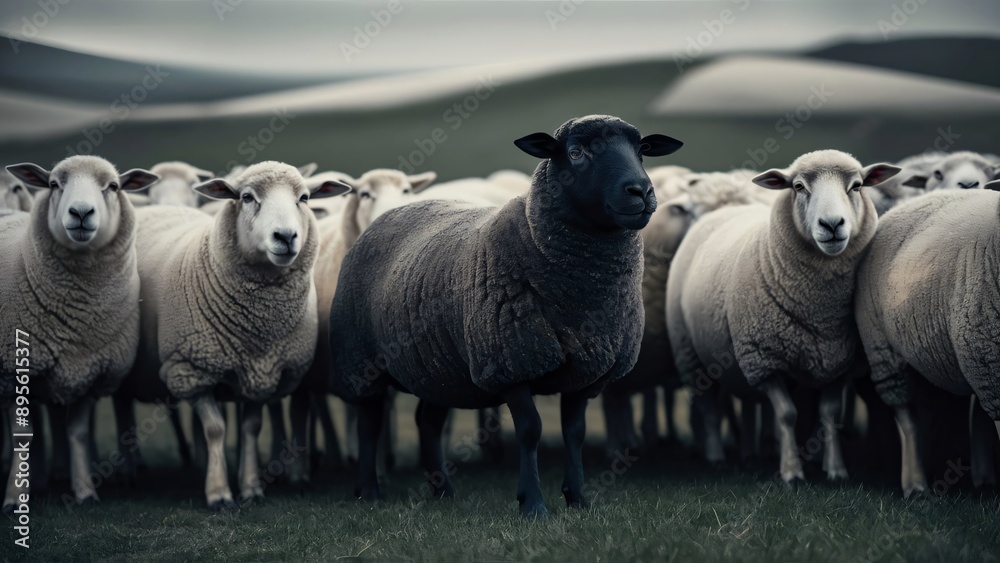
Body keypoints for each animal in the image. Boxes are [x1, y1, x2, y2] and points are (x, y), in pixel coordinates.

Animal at [0, 156, 159, 511]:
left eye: (113, 186)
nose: (81, 212)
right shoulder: (14, 371)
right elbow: (22, 436)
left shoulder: (89, 370)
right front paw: (14, 499)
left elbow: (77, 434)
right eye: (53, 184)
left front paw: (85, 492)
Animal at [125, 161, 349, 509]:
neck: (258, 329)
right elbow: (216, 428)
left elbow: (251, 428)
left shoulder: (263, 374)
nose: (286, 236)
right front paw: (218, 492)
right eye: (246, 197)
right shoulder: (191, 369)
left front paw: (251, 486)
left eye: (304, 198)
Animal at [328, 115, 683, 516]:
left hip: (438, 366)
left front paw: (578, 498)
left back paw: (443, 491)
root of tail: (391, 213)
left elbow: (573, 433)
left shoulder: (587, 367)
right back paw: (368, 490)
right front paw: (533, 504)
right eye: (576, 152)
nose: (641, 191)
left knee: (427, 422)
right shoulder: (511, 359)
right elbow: (530, 429)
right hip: (362, 359)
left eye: (642, 151)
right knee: (369, 422)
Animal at [667, 150, 899, 485]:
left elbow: (829, 413)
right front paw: (791, 472)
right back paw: (716, 457)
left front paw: (835, 469)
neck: (820, 311)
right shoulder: (764, 360)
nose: (832, 224)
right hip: (689, 351)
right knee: (709, 407)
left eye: (856, 186)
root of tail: (725, 209)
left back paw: (752, 453)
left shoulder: (840, 364)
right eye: (798, 187)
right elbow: (787, 414)